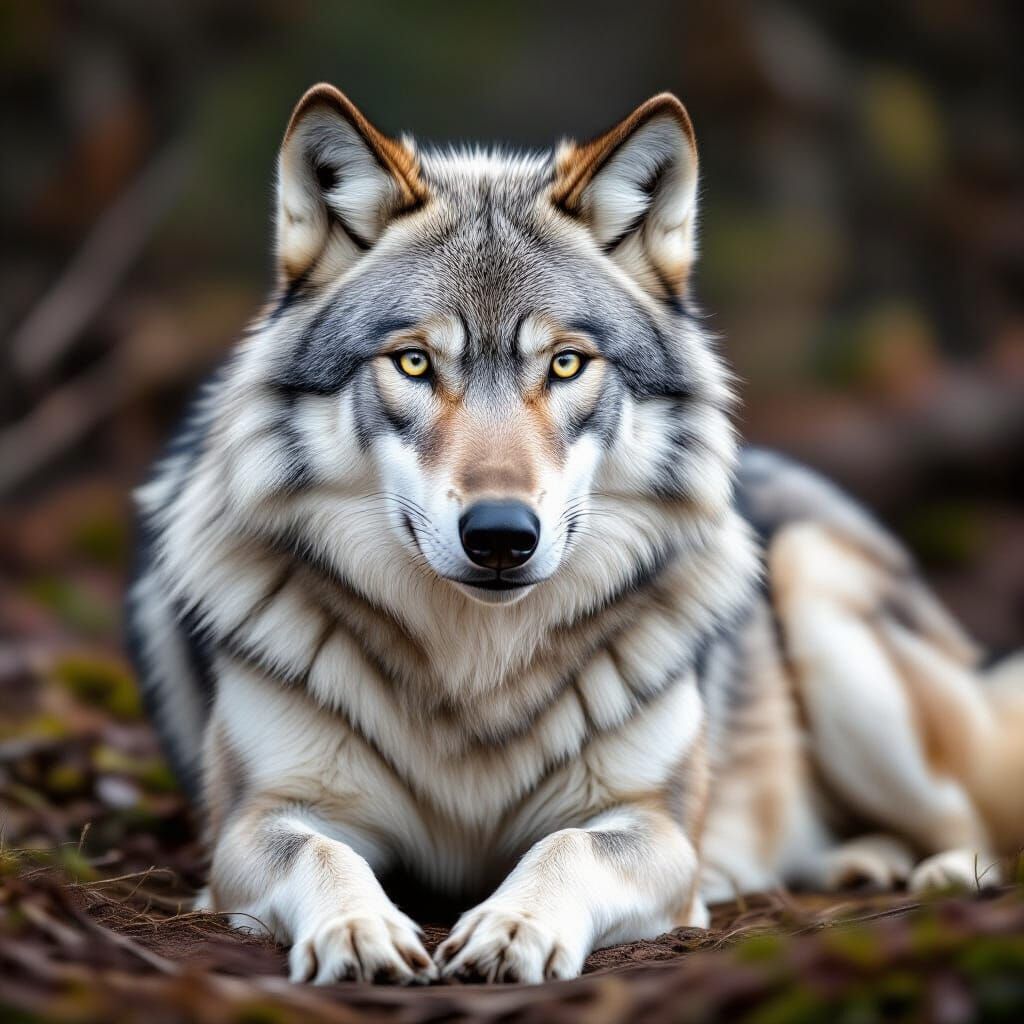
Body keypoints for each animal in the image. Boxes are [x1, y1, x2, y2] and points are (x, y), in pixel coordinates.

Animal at [127, 85, 1024, 985]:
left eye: (565, 364)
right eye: (414, 363)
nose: (499, 535)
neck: (476, 670)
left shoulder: (652, 823)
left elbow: (567, 848)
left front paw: (513, 926)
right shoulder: (256, 819)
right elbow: (322, 852)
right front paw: (359, 928)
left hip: (825, 610)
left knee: (969, 820)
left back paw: (941, 873)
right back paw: (857, 860)